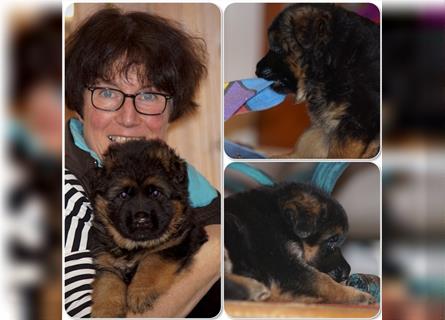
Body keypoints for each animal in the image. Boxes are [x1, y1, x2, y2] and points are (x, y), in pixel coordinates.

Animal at [91, 139, 208, 316]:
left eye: (155, 193)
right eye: (123, 195)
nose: (141, 219)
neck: (135, 247)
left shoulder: (181, 241)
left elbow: (151, 259)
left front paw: (140, 292)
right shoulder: (106, 260)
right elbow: (107, 282)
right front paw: (106, 311)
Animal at [225, 184, 374, 304]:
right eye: (332, 240)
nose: (346, 272)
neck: (281, 221)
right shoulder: (283, 264)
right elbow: (322, 280)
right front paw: (360, 296)